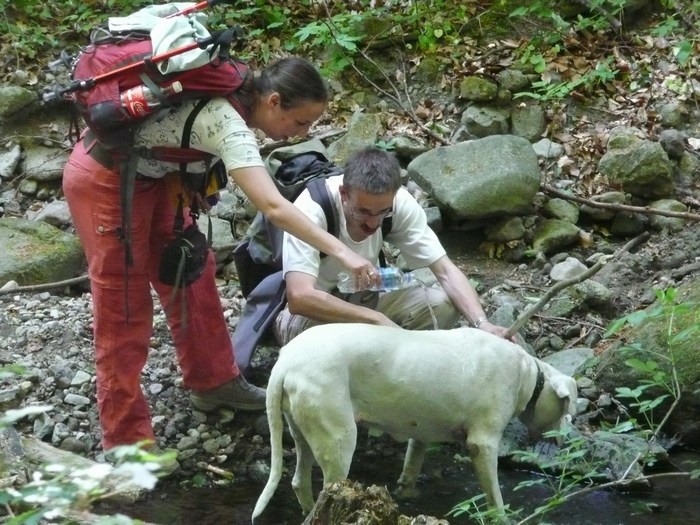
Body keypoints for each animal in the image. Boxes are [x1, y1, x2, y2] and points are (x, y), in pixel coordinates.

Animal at [249, 324, 576, 520]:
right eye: (565, 408)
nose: (563, 440)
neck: (528, 376)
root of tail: (285, 361)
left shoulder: (420, 437)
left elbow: (411, 469)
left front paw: (407, 494)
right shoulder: (482, 445)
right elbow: (494, 497)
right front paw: (504, 517)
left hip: (301, 429)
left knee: (299, 480)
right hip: (338, 439)